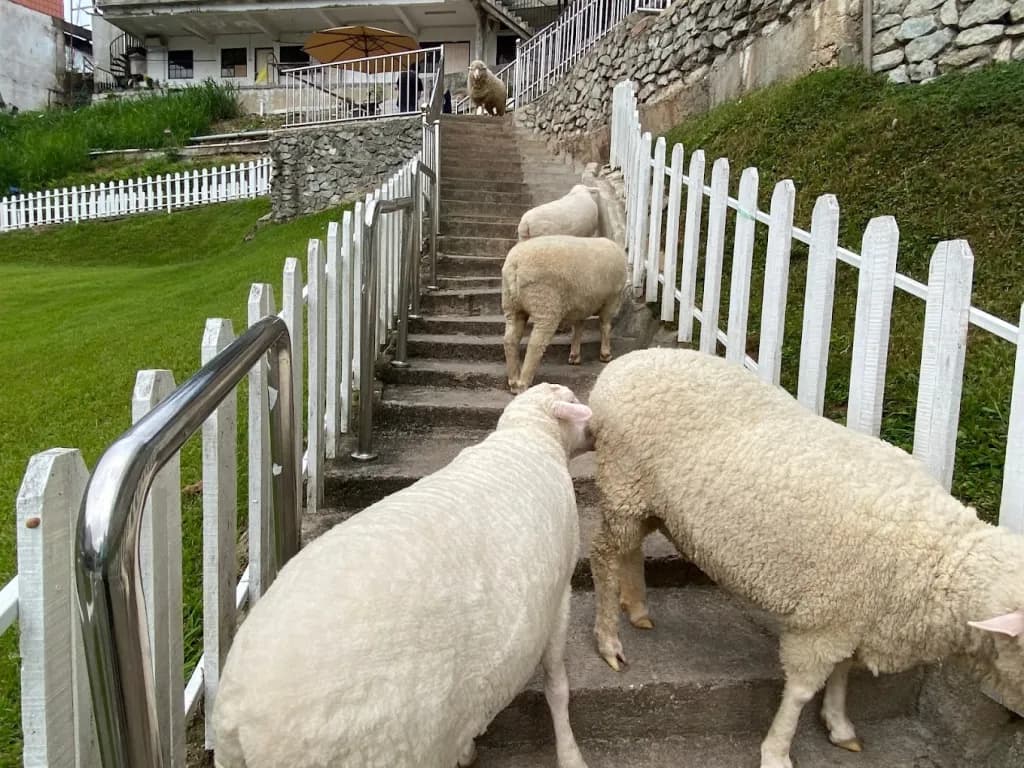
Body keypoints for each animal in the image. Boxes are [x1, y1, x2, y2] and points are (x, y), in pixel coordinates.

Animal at [213, 382, 594, 768]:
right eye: (575, 402)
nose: (595, 431)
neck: (529, 436)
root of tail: (239, 721)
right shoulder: (560, 593)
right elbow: (557, 686)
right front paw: (570, 754)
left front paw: (467, 749)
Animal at [502, 235, 627, 395]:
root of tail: (515, 264)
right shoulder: (611, 299)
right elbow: (605, 325)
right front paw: (605, 354)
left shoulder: (581, 304)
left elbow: (578, 328)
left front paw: (574, 355)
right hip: (545, 305)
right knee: (535, 343)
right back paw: (523, 383)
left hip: (512, 306)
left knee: (510, 340)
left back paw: (513, 380)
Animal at [586, 348, 1024, 768]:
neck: (941, 559)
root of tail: (622, 366)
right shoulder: (822, 621)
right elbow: (800, 691)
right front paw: (777, 753)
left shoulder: (850, 615)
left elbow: (843, 671)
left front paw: (839, 724)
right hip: (623, 482)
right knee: (604, 555)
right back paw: (609, 641)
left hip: (645, 500)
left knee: (629, 548)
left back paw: (637, 607)